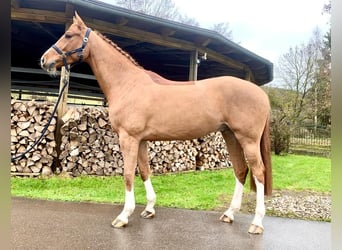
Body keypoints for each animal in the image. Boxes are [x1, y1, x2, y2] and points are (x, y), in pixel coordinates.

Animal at [40, 12, 272, 234]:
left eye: (68, 35)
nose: (44, 60)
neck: (128, 84)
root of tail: (261, 93)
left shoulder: (128, 138)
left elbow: (128, 174)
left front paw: (123, 216)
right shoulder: (141, 140)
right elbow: (144, 170)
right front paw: (149, 209)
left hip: (247, 139)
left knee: (258, 172)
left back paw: (257, 223)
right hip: (230, 135)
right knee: (241, 170)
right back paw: (229, 214)